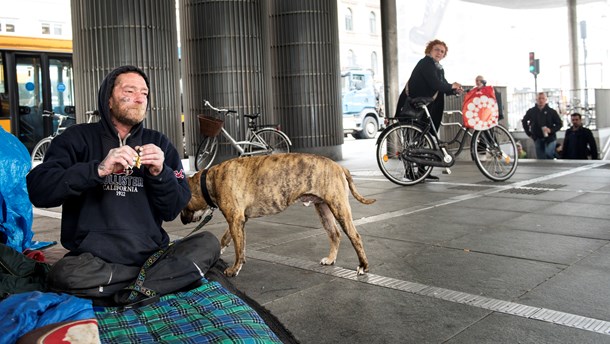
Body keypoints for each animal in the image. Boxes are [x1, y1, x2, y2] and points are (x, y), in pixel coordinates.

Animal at [178, 153, 372, 276]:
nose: (181, 220)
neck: (209, 180)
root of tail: (339, 166)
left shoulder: (235, 220)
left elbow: (238, 248)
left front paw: (234, 268)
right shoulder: (239, 220)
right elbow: (229, 239)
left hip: (339, 208)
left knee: (354, 236)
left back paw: (363, 266)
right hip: (323, 209)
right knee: (335, 234)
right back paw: (331, 259)